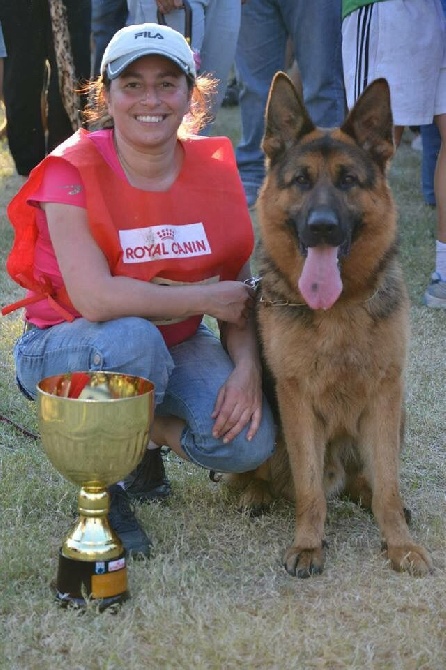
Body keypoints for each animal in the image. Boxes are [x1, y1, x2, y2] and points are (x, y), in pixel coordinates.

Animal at [228, 73, 430, 576]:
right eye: (301, 181)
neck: (338, 308)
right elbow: (309, 489)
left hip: (396, 417)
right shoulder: (296, 400)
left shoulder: (386, 394)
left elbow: (389, 488)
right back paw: (255, 493)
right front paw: (308, 544)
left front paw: (400, 545)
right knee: (263, 476)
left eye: (348, 181)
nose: (321, 227)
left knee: (368, 481)